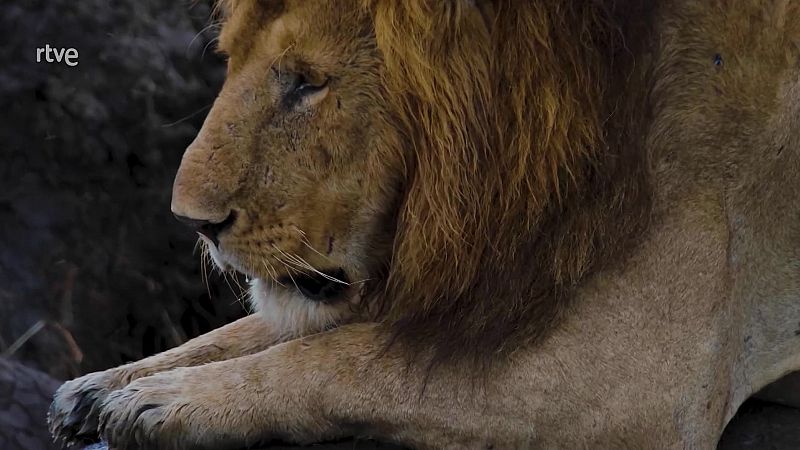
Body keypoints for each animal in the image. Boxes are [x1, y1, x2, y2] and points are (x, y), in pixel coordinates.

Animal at [48, 0, 800, 448]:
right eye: (229, 59)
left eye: (307, 80)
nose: (194, 222)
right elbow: (262, 330)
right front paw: (104, 385)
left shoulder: (645, 381)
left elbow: (351, 360)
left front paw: (160, 403)